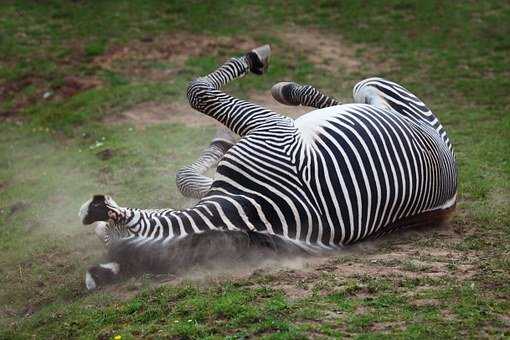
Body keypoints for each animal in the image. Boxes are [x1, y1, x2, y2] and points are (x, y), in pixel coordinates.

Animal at [80, 44, 458, 290]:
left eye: (103, 234)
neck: (246, 211)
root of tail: (450, 199)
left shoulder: (270, 127)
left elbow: (196, 97)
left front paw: (221, 139)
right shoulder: (272, 129)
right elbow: (197, 99)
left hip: (375, 92)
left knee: (342, 102)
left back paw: (285, 90)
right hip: (376, 92)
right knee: (349, 101)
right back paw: (287, 88)